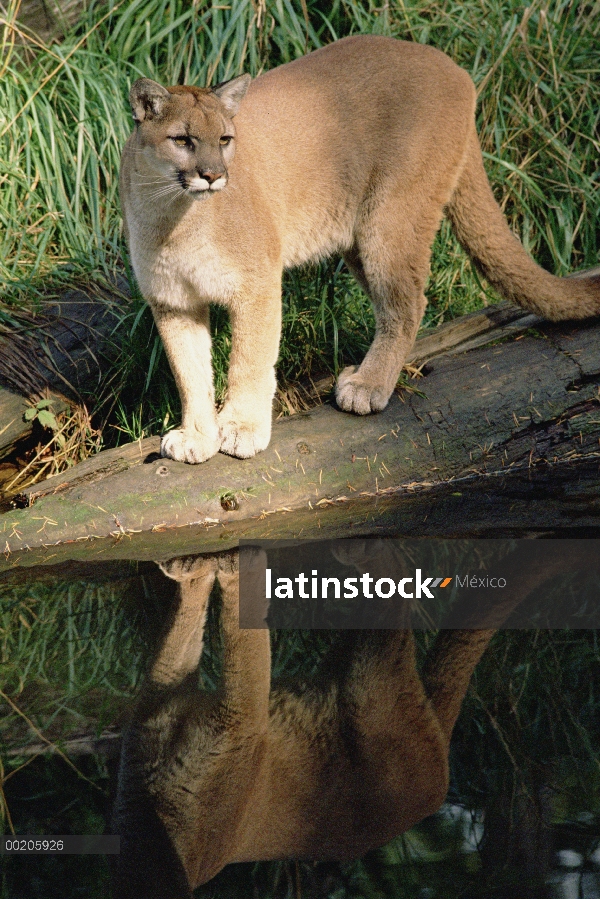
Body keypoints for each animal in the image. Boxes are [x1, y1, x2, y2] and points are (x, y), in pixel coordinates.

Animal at [120, 35, 600, 464]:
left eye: (224, 139)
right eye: (183, 140)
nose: (213, 175)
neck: (171, 217)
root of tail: (451, 66)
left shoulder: (255, 286)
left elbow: (249, 359)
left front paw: (241, 428)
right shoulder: (172, 301)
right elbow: (189, 372)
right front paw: (197, 436)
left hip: (390, 219)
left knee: (407, 304)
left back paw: (368, 385)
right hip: (359, 236)